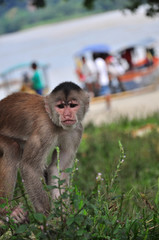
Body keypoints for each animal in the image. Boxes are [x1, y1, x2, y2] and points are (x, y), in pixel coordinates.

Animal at [0, 81, 89, 222]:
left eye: (72, 105)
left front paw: (62, 216)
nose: (67, 115)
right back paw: (6, 212)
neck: (56, 123)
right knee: (12, 148)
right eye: (61, 106)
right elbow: (29, 167)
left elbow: (58, 169)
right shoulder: (44, 129)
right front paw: (46, 219)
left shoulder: (76, 131)